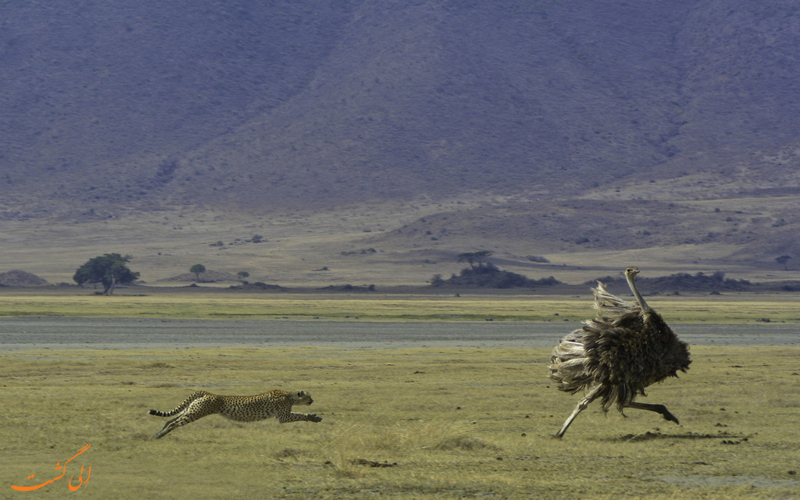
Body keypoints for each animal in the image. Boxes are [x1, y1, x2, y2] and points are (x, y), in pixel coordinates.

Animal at [148, 390, 324, 438]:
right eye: (309, 396)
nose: (313, 400)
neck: (290, 396)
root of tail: (206, 392)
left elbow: (300, 414)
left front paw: (314, 417)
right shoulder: (283, 417)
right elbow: (300, 415)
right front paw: (314, 417)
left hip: (191, 410)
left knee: (170, 420)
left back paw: (157, 433)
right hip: (196, 413)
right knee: (173, 422)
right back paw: (159, 435)